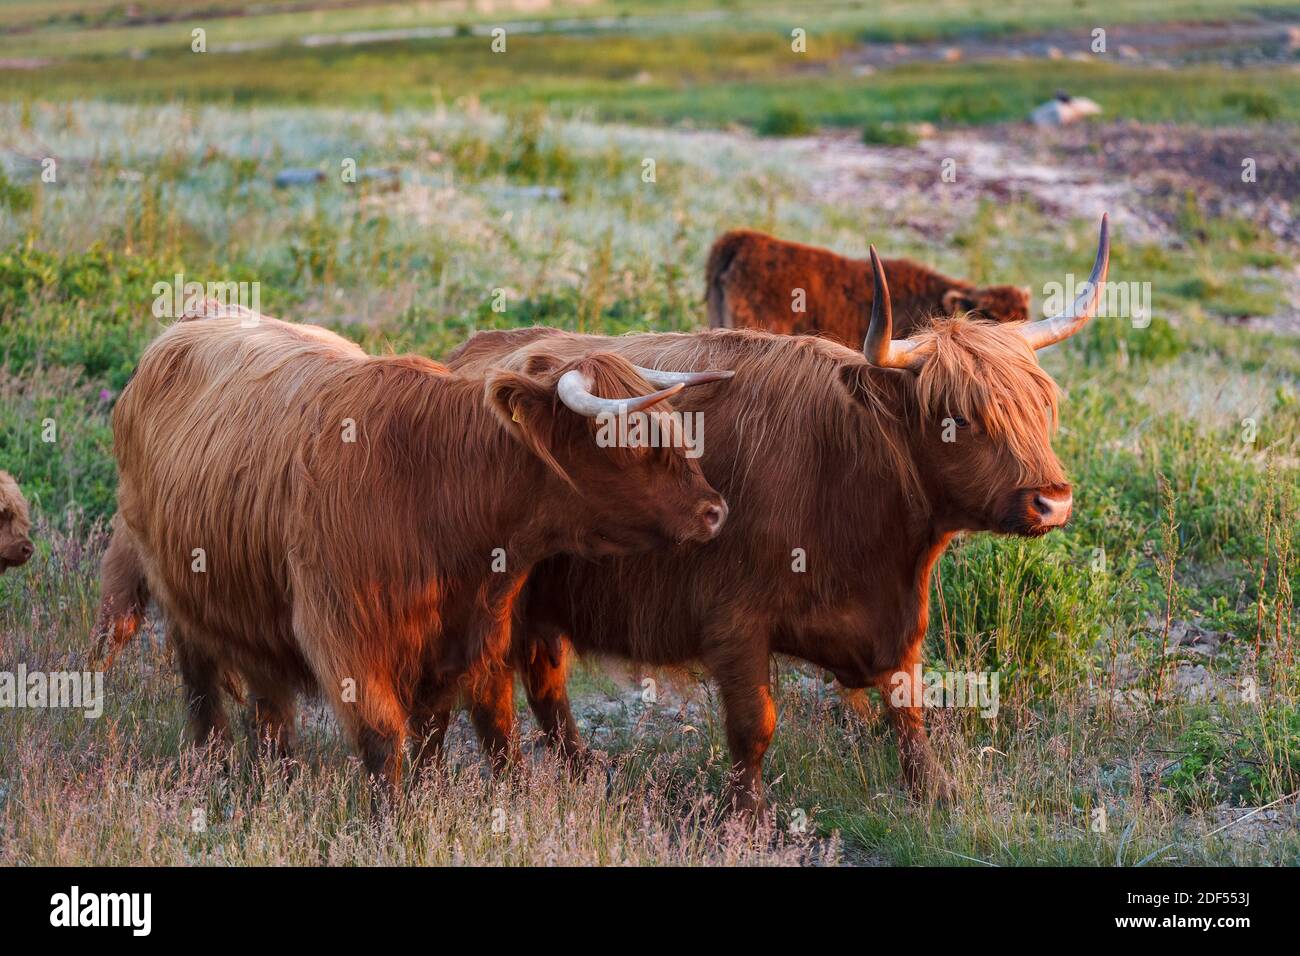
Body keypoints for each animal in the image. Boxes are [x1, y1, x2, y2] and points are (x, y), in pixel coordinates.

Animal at [96, 305, 733, 789]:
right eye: (630, 439)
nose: (715, 511)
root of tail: (194, 317)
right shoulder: (344, 630)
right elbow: (384, 739)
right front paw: (392, 823)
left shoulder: (474, 635)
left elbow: (464, 731)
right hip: (171, 581)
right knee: (197, 676)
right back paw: (214, 765)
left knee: (266, 693)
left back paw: (278, 775)